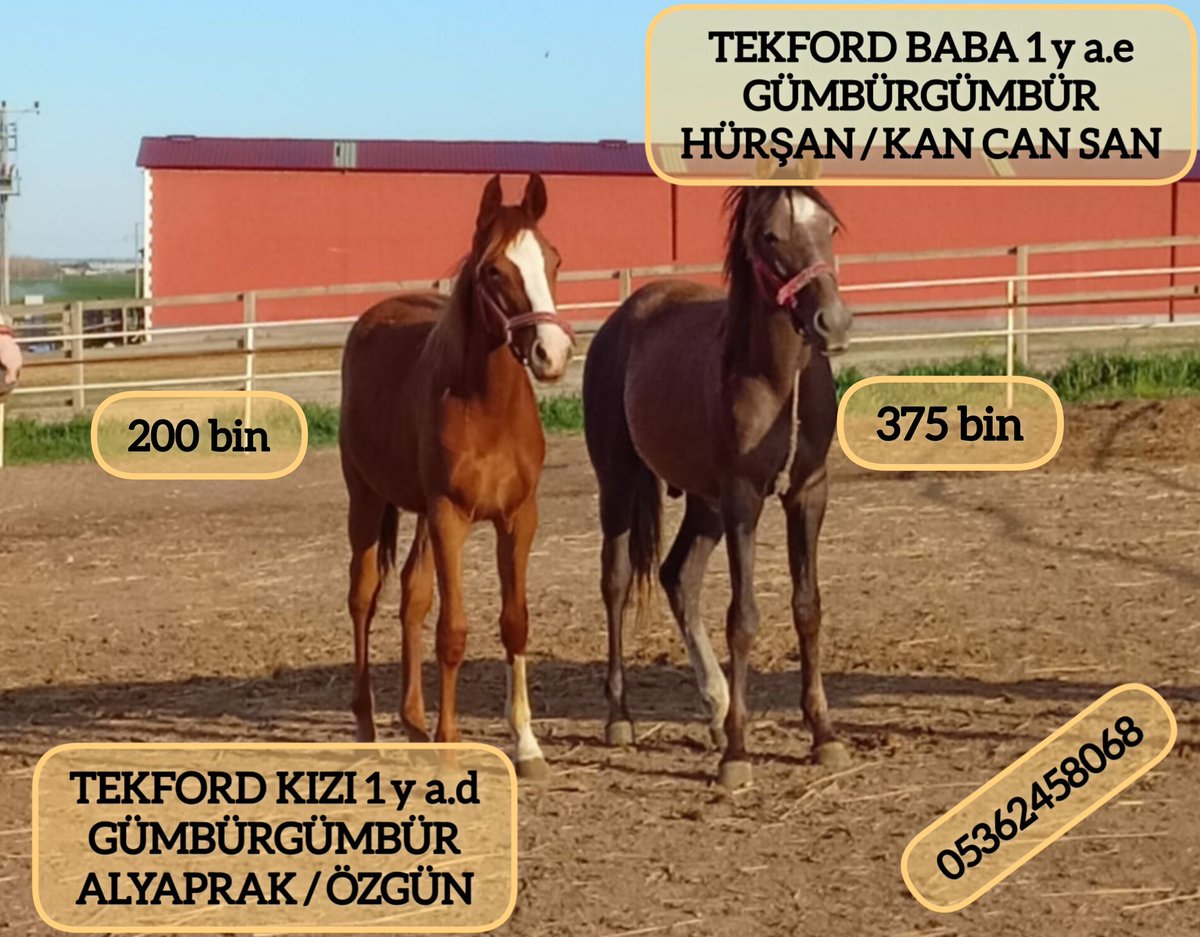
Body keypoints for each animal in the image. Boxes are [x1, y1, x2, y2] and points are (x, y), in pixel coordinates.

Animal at [339, 173, 576, 779]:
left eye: (553, 258)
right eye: (494, 271)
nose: (552, 353)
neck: (486, 408)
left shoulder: (518, 517)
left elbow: (514, 622)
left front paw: (528, 745)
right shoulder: (451, 515)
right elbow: (453, 631)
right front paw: (450, 744)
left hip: (421, 513)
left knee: (411, 596)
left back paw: (413, 724)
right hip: (367, 500)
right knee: (363, 597)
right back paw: (368, 728)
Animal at [582, 185, 853, 788]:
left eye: (830, 228)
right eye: (770, 236)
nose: (833, 322)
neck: (775, 381)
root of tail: (625, 316)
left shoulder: (808, 494)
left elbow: (809, 608)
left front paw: (823, 736)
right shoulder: (742, 499)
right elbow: (743, 619)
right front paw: (737, 754)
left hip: (702, 503)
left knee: (678, 576)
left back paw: (715, 706)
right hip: (620, 484)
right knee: (616, 583)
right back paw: (620, 716)